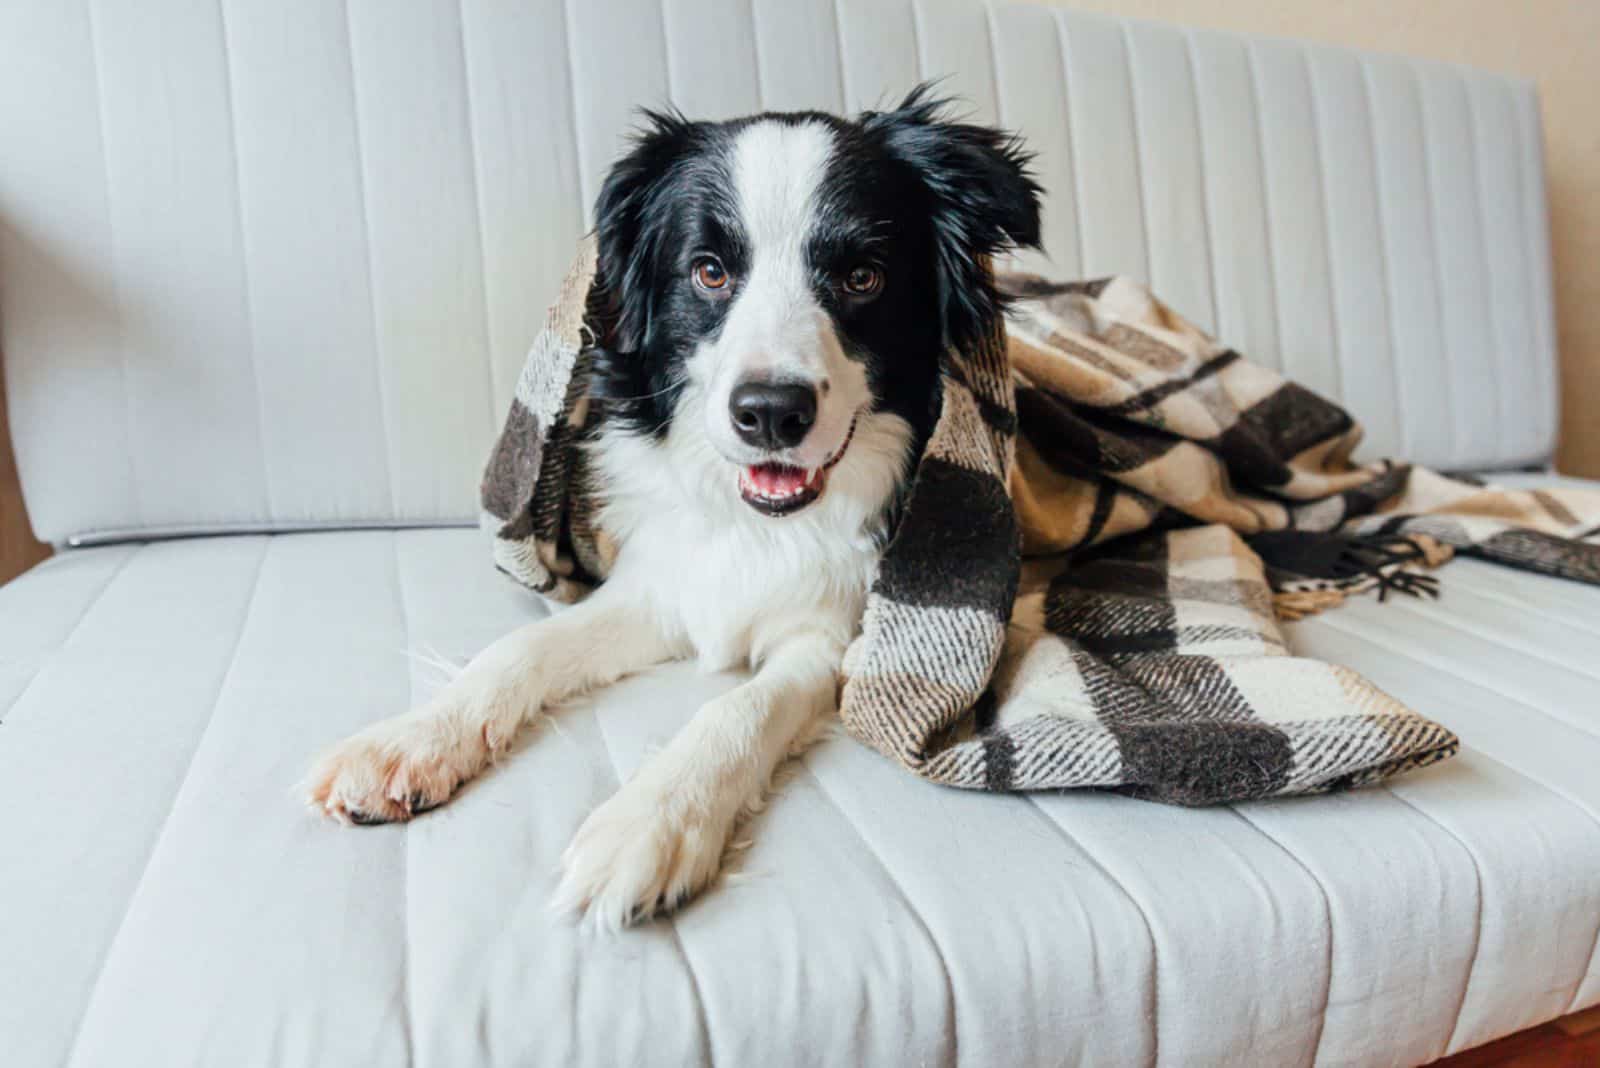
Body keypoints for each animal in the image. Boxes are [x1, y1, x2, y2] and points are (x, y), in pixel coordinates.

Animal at [304, 87, 1043, 927]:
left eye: (862, 277)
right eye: (710, 272)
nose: (771, 413)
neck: (760, 527)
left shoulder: (833, 637)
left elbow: (739, 709)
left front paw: (649, 822)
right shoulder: (659, 587)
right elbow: (520, 650)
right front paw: (410, 741)